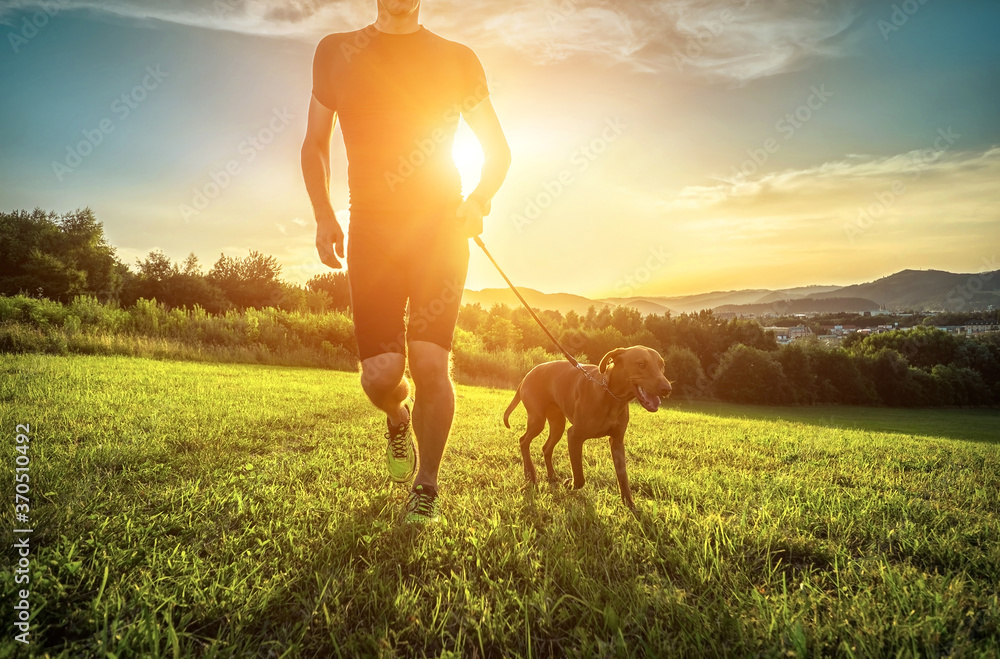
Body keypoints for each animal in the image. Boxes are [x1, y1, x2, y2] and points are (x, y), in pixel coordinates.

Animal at [508, 346, 672, 510]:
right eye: (641, 365)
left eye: (662, 365)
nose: (667, 389)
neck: (611, 397)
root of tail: (527, 375)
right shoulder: (574, 436)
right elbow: (579, 477)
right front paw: (570, 484)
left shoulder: (617, 441)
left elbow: (623, 476)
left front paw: (629, 503)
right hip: (537, 420)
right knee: (523, 440)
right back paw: (530, 474)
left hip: (557, 425)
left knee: (546, 448)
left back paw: (552, 476)